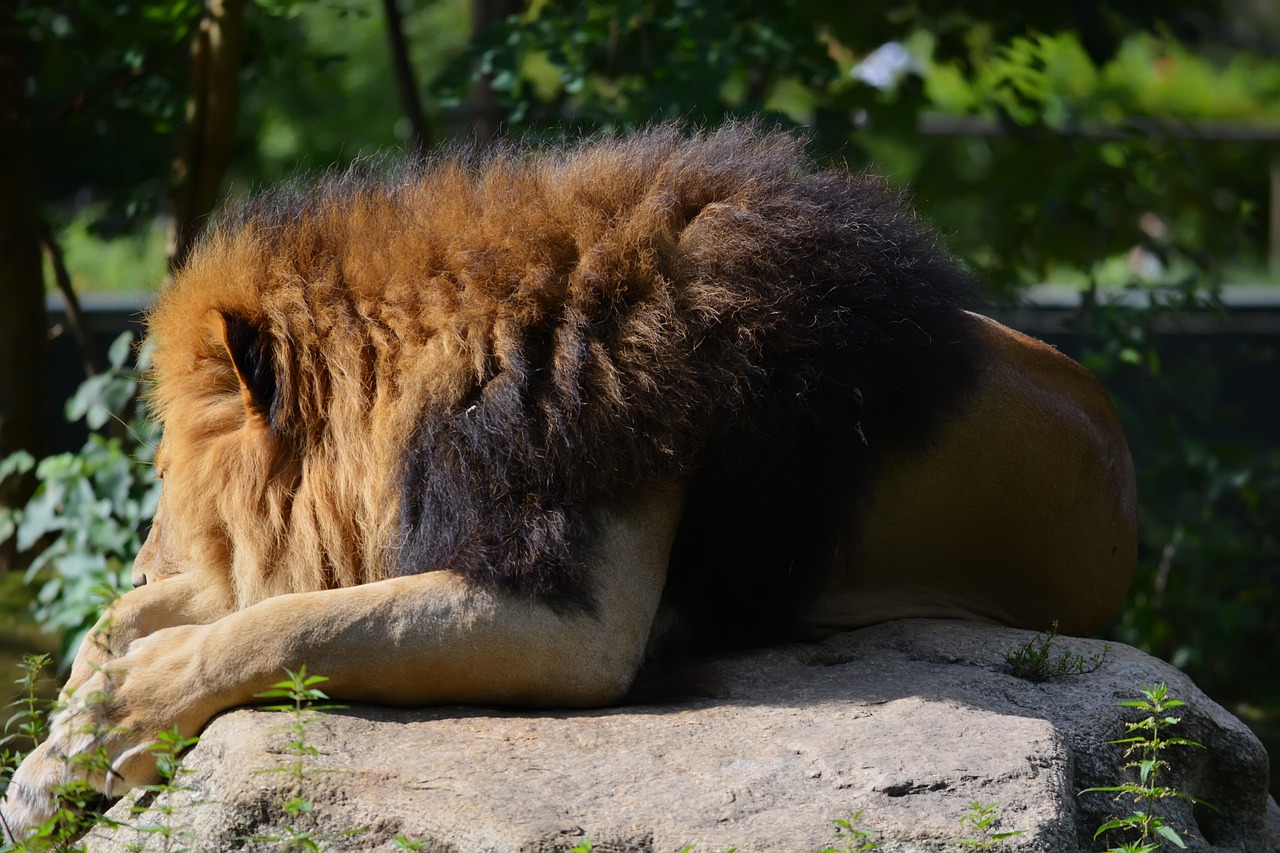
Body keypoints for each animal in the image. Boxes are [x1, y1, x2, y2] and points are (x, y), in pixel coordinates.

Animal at [2, 123, 1136, 840]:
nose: (143, 558)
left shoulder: (576, 618)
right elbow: (193, 612)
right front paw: (60, 743)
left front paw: (108, 722)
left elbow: (285, 625)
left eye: (163, 471)